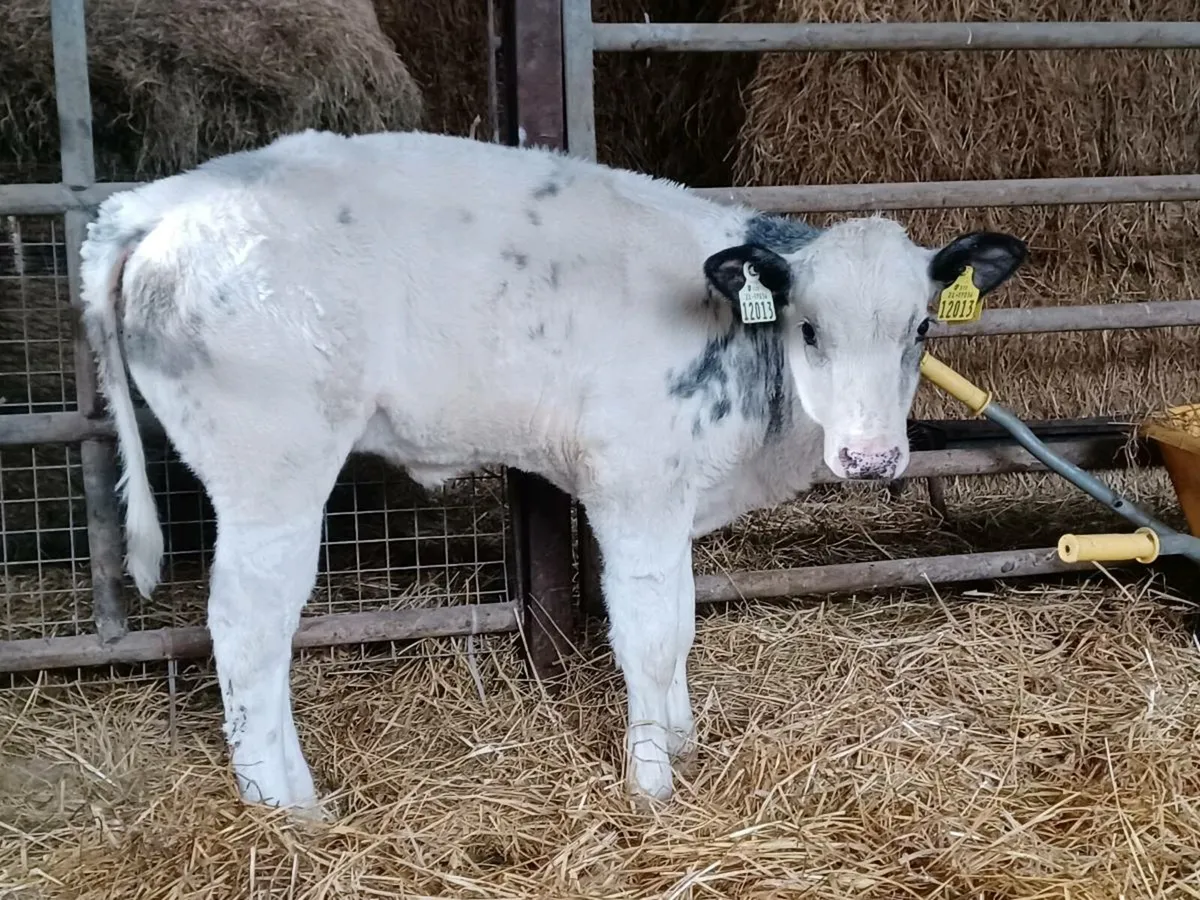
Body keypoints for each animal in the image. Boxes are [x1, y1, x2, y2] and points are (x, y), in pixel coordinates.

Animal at [79, 129, 1026, 816]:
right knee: (247, 630)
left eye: (921, 331)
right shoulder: (631, 490)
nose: (871, 457)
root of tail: (161, 202)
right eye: (810, 329)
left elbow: (682, 620)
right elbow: (648, 635)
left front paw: (681, 740)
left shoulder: (671, 501)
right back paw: (287, 807)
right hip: (272, 472)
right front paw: (652, 785)